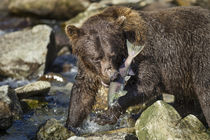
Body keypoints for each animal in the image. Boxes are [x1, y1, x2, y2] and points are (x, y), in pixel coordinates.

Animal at [65, 5, 210, 130]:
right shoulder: (87, 69)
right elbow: (82, 92)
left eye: (112, 55)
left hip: (200, 55)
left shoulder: (146, 54)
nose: (112, 76)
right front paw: (71, 124)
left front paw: (105, 116)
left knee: (204, 92)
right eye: (96, 58)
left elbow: (145, 84)